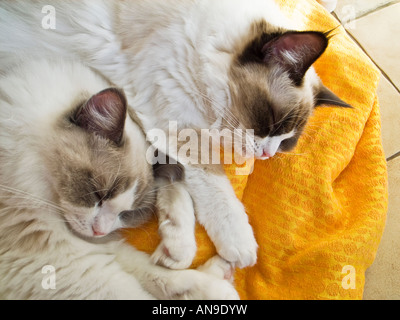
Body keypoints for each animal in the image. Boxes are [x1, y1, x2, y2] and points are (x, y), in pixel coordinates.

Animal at [0, 0, 350, 270]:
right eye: (273, 122)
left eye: (286, 142)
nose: (265, 154)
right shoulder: (174, 120)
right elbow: (213, 182)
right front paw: (240, 245)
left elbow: (171, 184)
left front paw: (176, 248)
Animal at [0, 59, 238, 300]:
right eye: (99, 194)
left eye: (127, 214)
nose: (100, 231)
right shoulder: (62, 259)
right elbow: (136, 288)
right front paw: (219, 285)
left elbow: (155, 274)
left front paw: (214, 284)